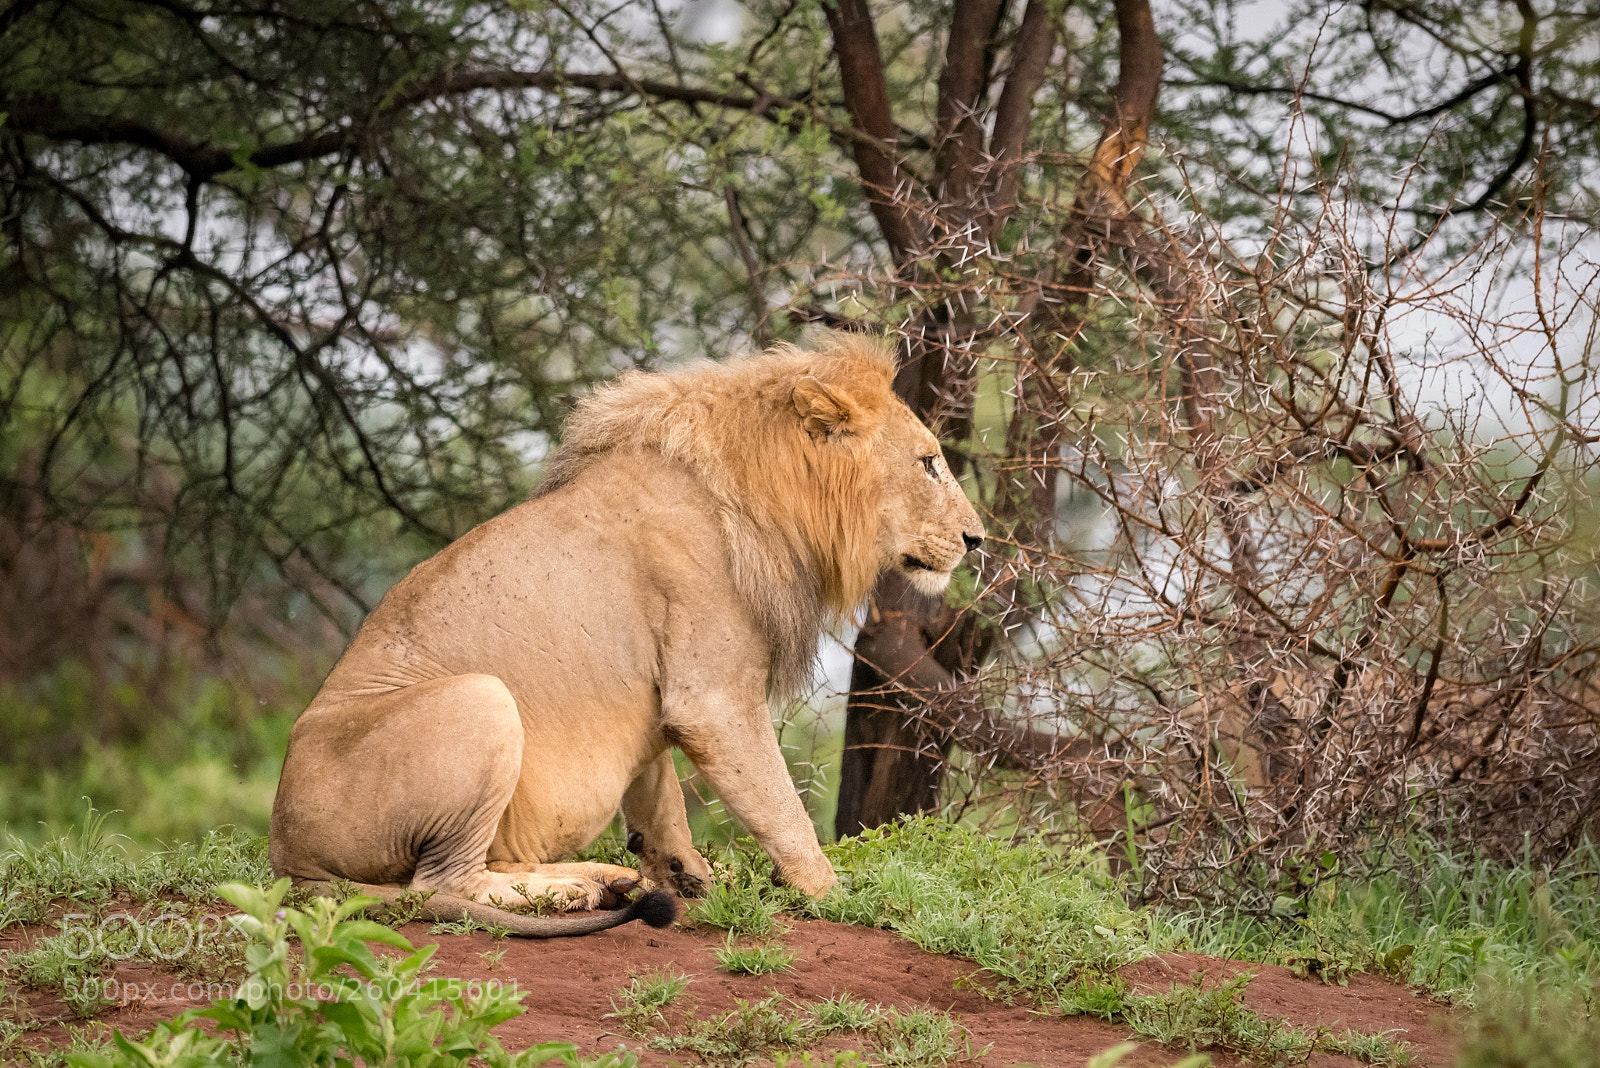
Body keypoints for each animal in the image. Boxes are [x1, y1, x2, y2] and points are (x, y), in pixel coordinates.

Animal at [269, 337, 985, 936]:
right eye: (928, 463)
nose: (977, 539)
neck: (770, 497)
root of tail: (285, 857)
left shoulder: (658, 694)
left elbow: (660, 800)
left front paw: (688, 877)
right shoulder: (712, 698)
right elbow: (781, 808)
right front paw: (833, 894)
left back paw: (604, 879)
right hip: (482, 700)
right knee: (441, 885)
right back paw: (569, 893)